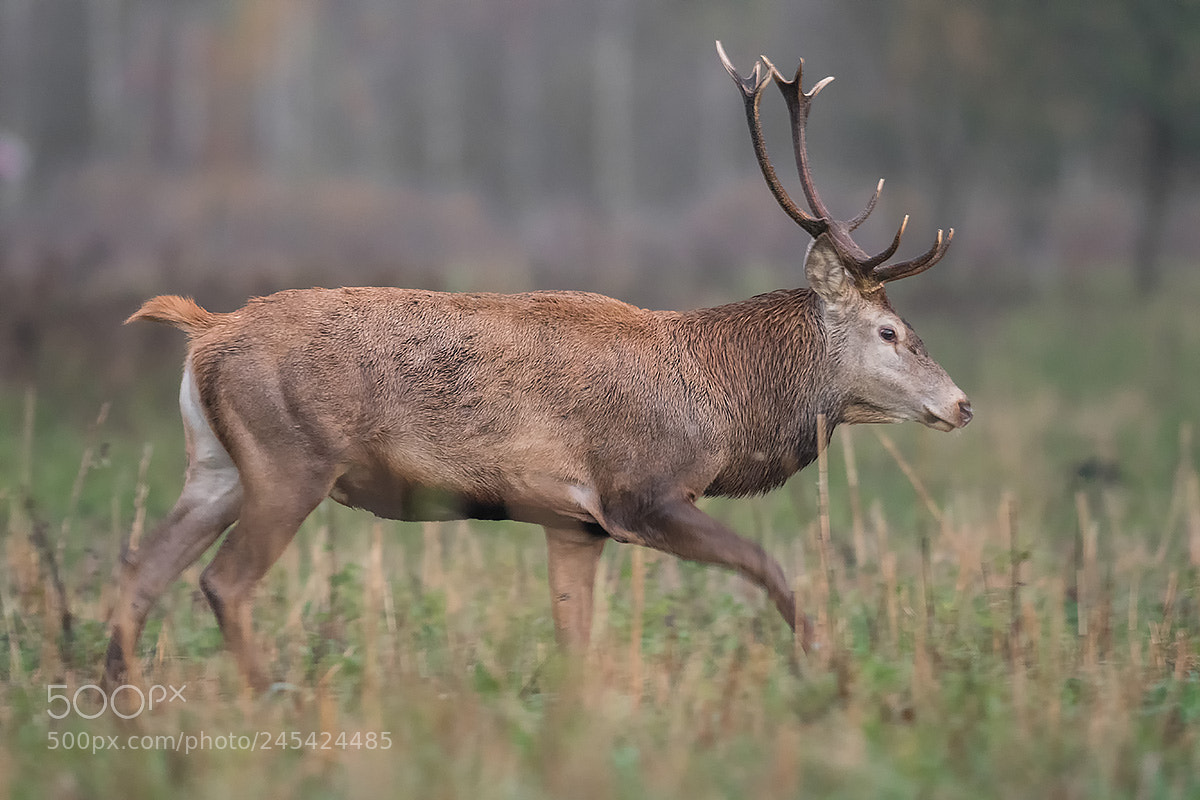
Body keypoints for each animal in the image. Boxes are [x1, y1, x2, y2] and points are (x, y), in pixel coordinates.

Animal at [105, 42, 972, 692]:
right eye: (891, 331)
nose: (963, 404)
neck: (724, 407)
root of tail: (204, 330)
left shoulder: (574, 523)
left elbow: (574, 644)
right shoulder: (639, 490)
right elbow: (769, 564)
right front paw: (833, 669)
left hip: (218, 466)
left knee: (140, 571)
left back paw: (121, 710)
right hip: (291, 460)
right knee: (221, 582)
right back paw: (267, 695)